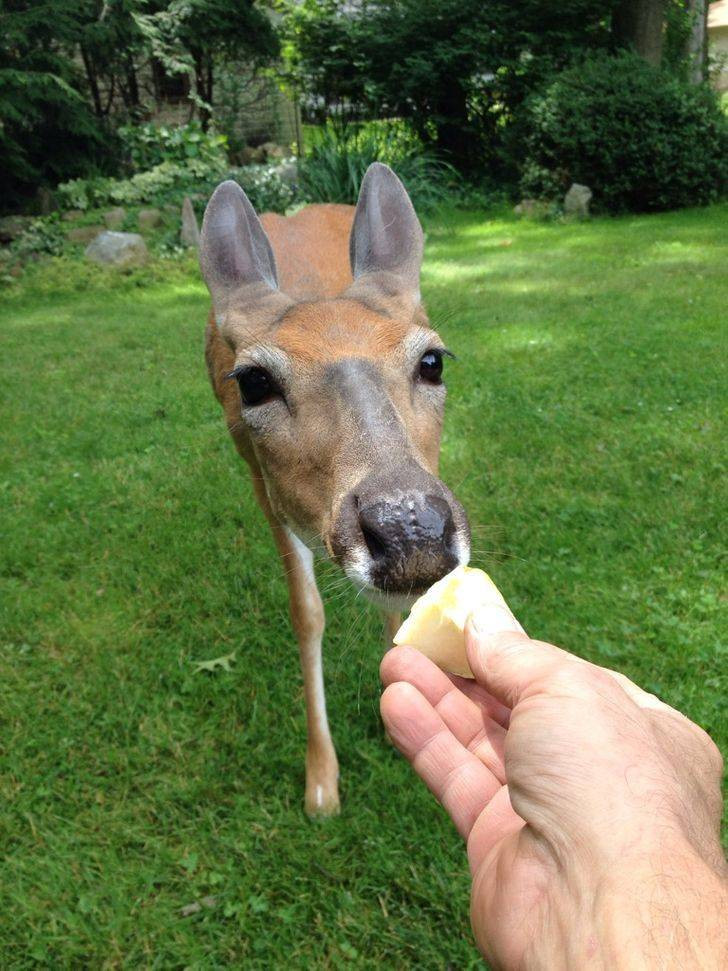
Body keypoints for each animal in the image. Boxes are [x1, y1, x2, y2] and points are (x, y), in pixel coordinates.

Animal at [200, 163, 472, 816]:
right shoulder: (267, 488)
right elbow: (307, 612)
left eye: (433, 360)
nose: (410, 532)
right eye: (253, 381)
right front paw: (321, 781)